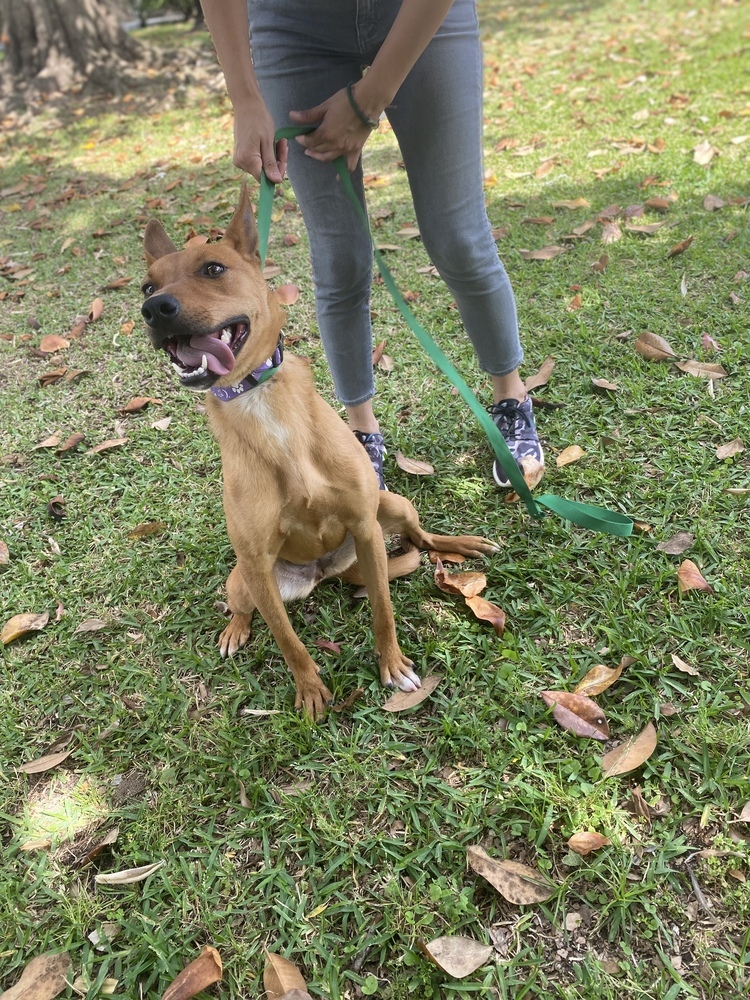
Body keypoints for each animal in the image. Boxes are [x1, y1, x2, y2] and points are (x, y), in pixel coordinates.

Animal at [144, 186, 502, 720]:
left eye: (213, 268)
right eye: (146, 286)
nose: (154, 309)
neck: (259, 401)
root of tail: (327, 571)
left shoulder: (366, 527)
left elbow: (382, 611)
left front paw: (392, 665)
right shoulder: (255, 563)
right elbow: (289, 641)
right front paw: (310, 689)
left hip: (392, 505)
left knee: (420, 538)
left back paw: (461, 543)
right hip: (243, 579)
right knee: (246, 608)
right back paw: (235, 629)